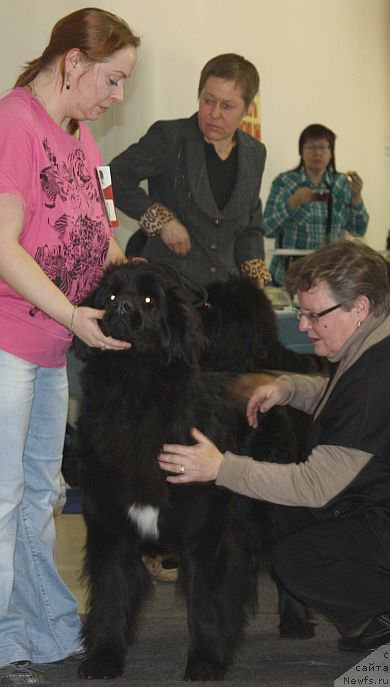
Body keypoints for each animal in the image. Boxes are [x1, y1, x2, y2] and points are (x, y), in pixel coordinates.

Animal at [74, 264, 316, 684]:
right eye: (109, 296)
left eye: (149, 299)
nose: (121, 308)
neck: (134, 393)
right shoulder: (110, 525)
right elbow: (109, 594)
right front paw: (103, 658)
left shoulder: (203, 531)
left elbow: (204, 601)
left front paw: (204, 662)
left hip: (269, 506)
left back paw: (296, 621)